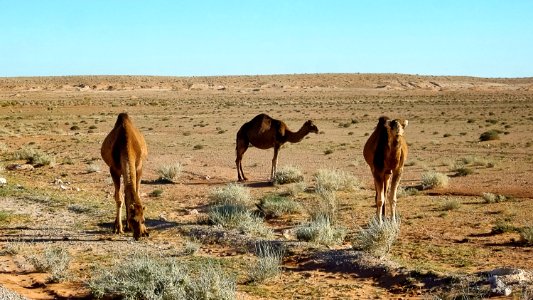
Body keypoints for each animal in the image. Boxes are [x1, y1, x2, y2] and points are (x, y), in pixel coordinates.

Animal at [100, 112, 149, 241]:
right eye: (134, 220)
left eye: (144, 220)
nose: (138, 235)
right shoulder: (114, 170)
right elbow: (119, 198)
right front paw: (118, 228)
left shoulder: (139, 167)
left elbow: (135, 193)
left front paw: (144, 230)